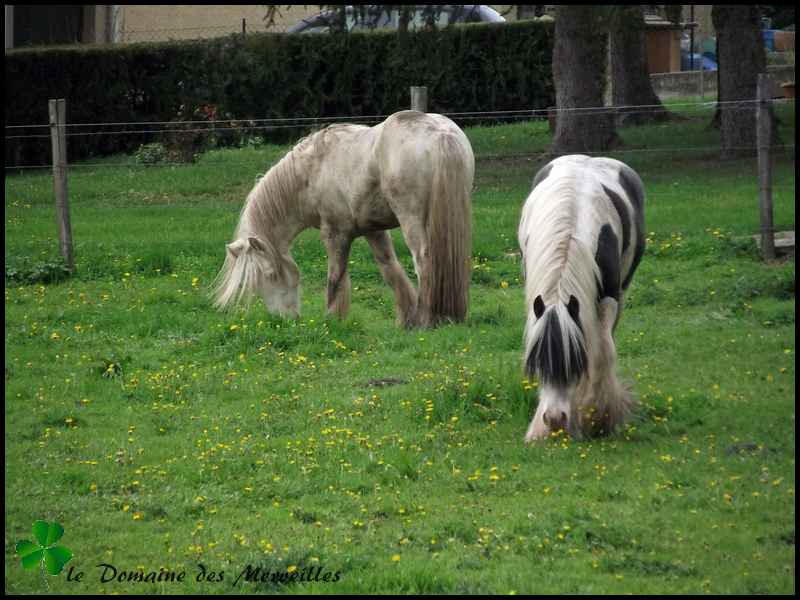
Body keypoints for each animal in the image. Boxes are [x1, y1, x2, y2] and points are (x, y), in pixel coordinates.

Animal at [214, 111, 476, 328]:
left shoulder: (335, 234)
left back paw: (425, 320)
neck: (312, 171)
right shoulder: (373, 230)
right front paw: (404, 319)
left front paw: (331, 319)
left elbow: (335, 278)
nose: (285, 320)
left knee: (423, 262)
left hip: (411, 220)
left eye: (269, 275)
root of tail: (440, 134)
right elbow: (390, 268)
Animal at [520, 154, 644, 440]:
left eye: (575, 363)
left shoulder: (609, 298)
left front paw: (599, 416)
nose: (555, 419)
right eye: (539, 362)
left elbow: (603, 351)